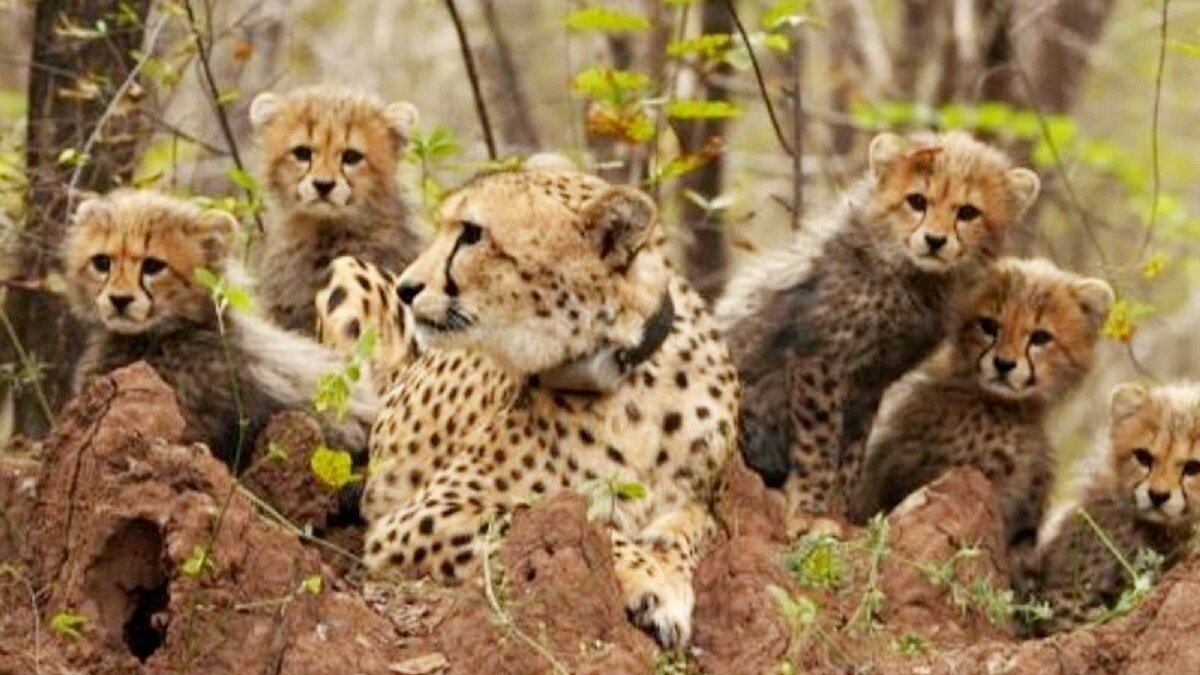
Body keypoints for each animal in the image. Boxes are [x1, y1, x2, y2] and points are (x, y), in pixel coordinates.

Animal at [313, 166, 741, 648]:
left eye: (472, 233)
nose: (407, 288)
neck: (624, 371)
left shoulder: (703, 503)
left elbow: (685, 530)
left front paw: (665, 575)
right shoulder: (415, 520)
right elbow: (567, 522)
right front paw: (653, 584)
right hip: (348, 272)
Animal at [716, 130, 1040, 525]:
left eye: (968, 213)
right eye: (917, 201)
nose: (935, 241)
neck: (911, 276)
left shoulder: (871, 380)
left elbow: (852, 449)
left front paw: (839, 509)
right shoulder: (820, 360)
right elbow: (819, 443)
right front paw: (809, 509)